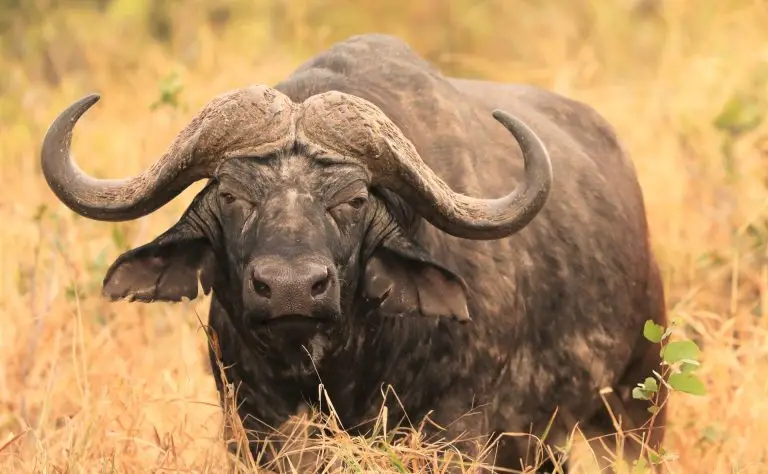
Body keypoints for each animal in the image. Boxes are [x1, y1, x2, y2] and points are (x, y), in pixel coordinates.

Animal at [40, 34, 667, 472]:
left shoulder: (459, 431)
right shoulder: (250, 424)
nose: (291, 288)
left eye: (354, 199)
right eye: (233, 196)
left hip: (636, 404)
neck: (343, 360)